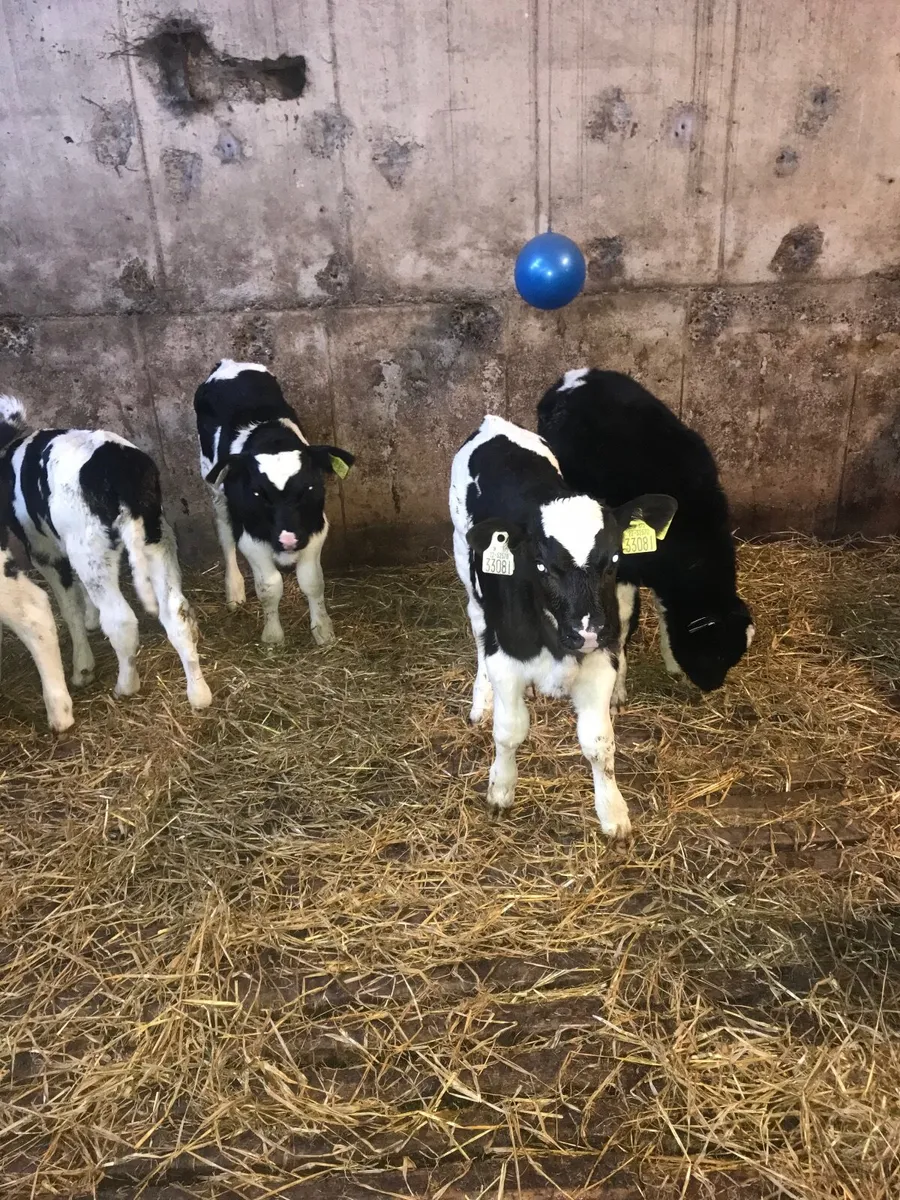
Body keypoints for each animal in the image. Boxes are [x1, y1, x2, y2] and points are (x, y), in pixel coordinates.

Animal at [0, 395, 211, 710]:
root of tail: (119, 469)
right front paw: (90, 618)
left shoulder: (43, 551)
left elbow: (69, 608)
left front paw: (82, 667)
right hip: (156, 538)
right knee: (176, 613)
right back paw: (199, 693)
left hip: (90, 549)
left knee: (120, 620)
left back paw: (126, 685)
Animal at [194, 360, 354, 647]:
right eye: (258, 494)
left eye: (309, 488)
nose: (288, 540)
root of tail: (229, 364)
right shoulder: (251, 538)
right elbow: (270, 586)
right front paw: (273, 636)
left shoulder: (315, 528)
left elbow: (312, 582)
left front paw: (323, 631)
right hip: (214, 483)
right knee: (225, 533)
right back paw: (234, 590)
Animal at [450, 414, 676, 838]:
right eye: (541, 565)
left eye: (615, 558)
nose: (586, 631)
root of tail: (494, 422)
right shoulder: (506, 660)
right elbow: (509, 730)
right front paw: (501, 789)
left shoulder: (601, 658)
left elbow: (599, 742)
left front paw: (613, 812)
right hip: (462, 555)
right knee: (477, 622)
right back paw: (480, 700)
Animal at [537, 368, 754, 703]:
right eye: (715, 653)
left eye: (733, 658)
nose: (711, 686)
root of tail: (580, 375)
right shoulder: (621, 565)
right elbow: (621, 621)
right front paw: (615, 689)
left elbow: (663, 612)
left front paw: (671, 663)